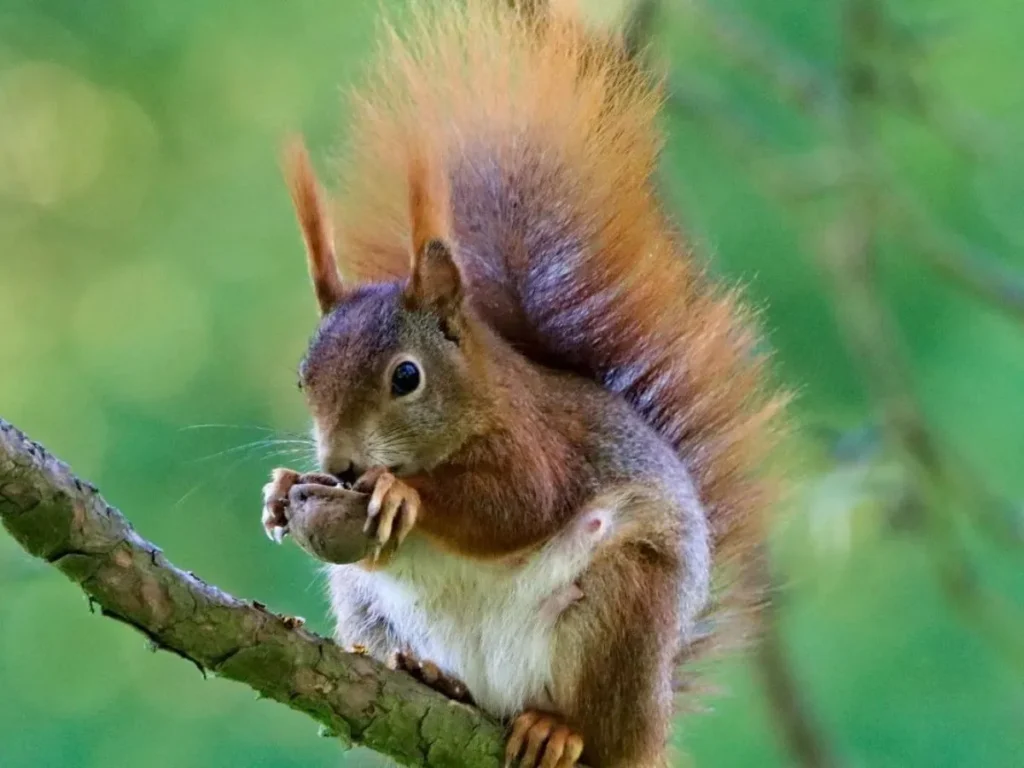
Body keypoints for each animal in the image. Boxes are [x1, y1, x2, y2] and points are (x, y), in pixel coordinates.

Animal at [261, 2, 787, 766]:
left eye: (406, 376)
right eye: (303, 379)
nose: (341, 466)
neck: (475, 401)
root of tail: (651, 728)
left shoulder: (538, 439)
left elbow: (519, 503)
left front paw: (403, 494)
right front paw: (278, 491)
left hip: (622, 608)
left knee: (592, 718)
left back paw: (556, 729)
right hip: (368, 606)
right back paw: (436, 677)